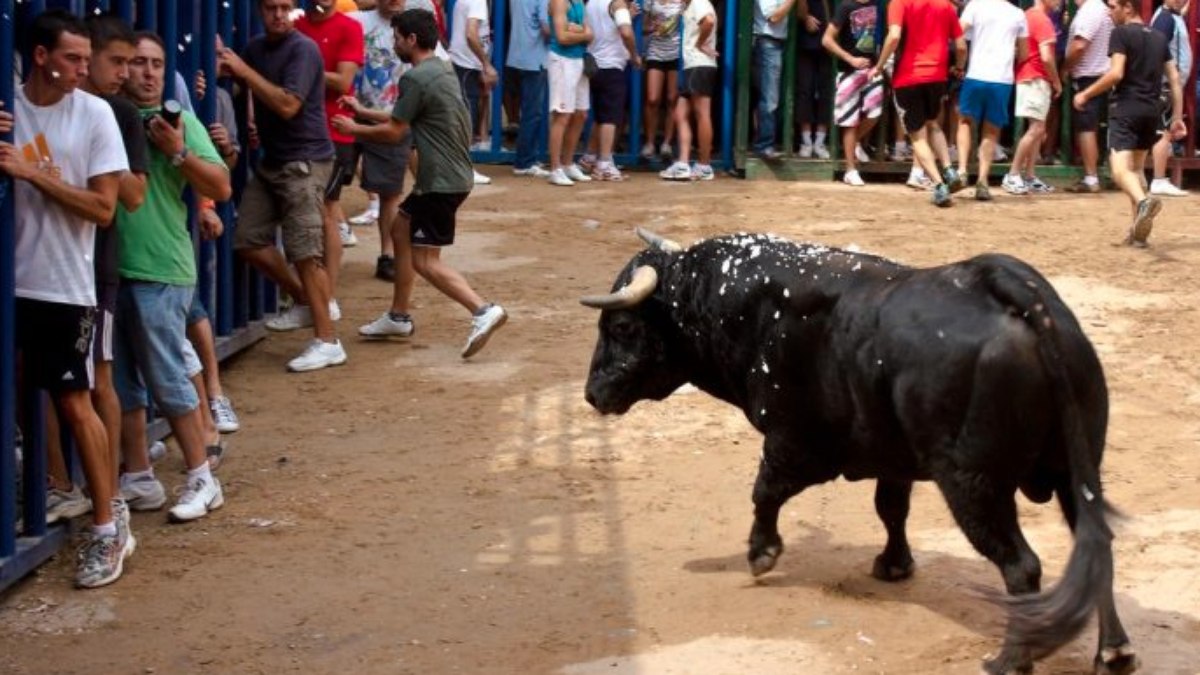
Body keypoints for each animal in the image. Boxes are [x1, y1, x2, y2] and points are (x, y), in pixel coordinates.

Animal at [585, 229, 1137, 672]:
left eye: (623, 328)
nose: (592, 394)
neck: (751, 308)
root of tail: (1018, 294)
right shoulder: (893, 456)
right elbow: (890, 508)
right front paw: (894, 564)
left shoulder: (792, 443)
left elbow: (764, 491)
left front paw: (761, 553)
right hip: (1077, 474)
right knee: (1096, 545)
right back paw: (1113, 650)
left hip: (973, 484)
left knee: (1021, 566)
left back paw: (1010, 659)